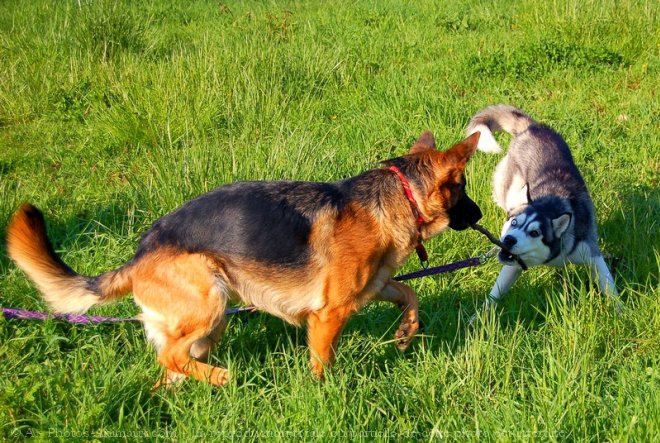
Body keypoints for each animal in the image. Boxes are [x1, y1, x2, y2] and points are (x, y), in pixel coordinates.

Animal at [6, 131, 480, 386]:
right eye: (462, 187)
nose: (480, 215)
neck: (399, 194)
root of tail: (141, 254)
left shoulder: (375, 285)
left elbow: (409, 294)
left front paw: (406, 332)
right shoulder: (328, 315)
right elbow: (322, 363)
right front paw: (324, 393)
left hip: (206, 324)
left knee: (170, 368)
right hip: (210, 301)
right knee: (170, 357)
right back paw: (221, 377)